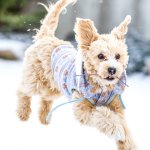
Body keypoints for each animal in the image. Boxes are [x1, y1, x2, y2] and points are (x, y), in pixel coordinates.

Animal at [16, 0, 136, 149]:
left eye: (118, 56)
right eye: (100, 56)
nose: (112, 69)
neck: (101, 87)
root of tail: (46, 37)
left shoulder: (117, 107)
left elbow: (124, 126)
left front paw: (128, 143)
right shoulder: (82, 108)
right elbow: (102, 115)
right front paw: (117, 130)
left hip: (54, 87)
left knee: (45, 98)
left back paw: (44, 118)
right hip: (35, 79)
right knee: (22, 91)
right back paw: (23, 113)